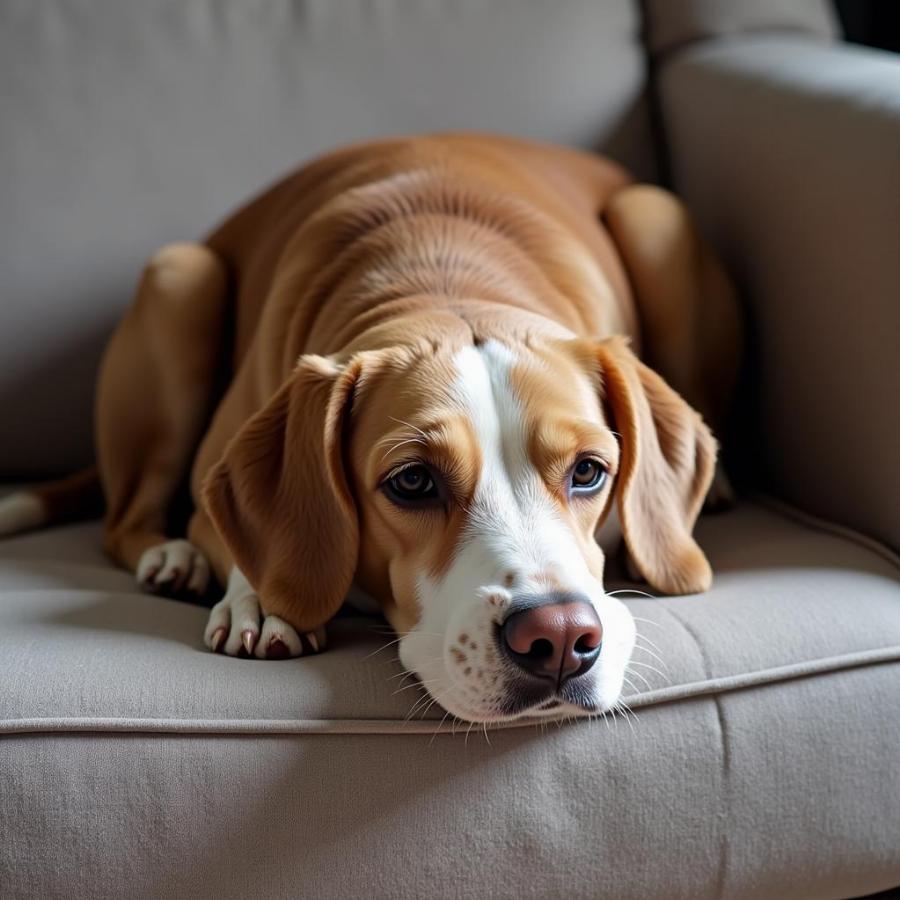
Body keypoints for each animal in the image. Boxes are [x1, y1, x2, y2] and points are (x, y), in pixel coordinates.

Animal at [0, 134, 740, 724]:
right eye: (412, 482)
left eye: (589, 471)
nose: (557, 636)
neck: (443, 276)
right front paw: (263, 601)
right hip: (180, 278)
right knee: (123, 519)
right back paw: (172, 558)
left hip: (654, 215)